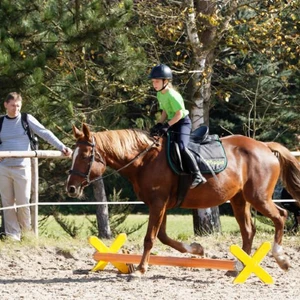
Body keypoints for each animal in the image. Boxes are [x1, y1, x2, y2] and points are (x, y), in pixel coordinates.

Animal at [66, 123, 300, 276]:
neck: (144, 160)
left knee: (281, 216)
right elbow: (162, 236)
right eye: (73, 155)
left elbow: (150, 238)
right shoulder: (160, 205)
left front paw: (140, 269)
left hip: (258, 197)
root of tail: (264, 146)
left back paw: (281, 259)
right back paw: (240, 268)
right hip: (239, 199)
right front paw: (196, 249)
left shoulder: (158, 204)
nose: (71, 188)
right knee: (248, 230)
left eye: (85, 156)